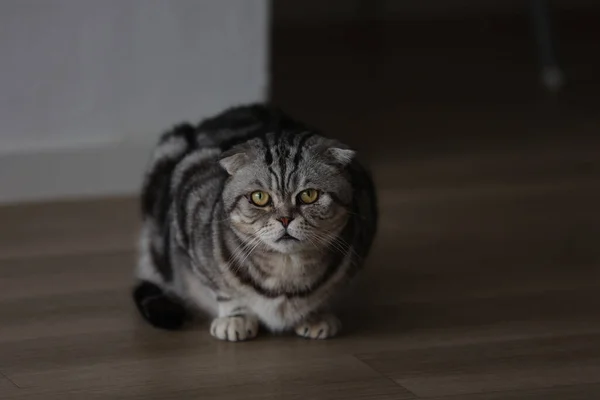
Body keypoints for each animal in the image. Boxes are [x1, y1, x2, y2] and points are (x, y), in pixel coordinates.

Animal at [132, 103, 376, 340]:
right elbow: (222, 289)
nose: (285, 219)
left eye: (309, 195)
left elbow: (325, 294)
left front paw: (315, 315)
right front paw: (235, 318)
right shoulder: (188, 217)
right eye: (260, 197)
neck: (286, 272)